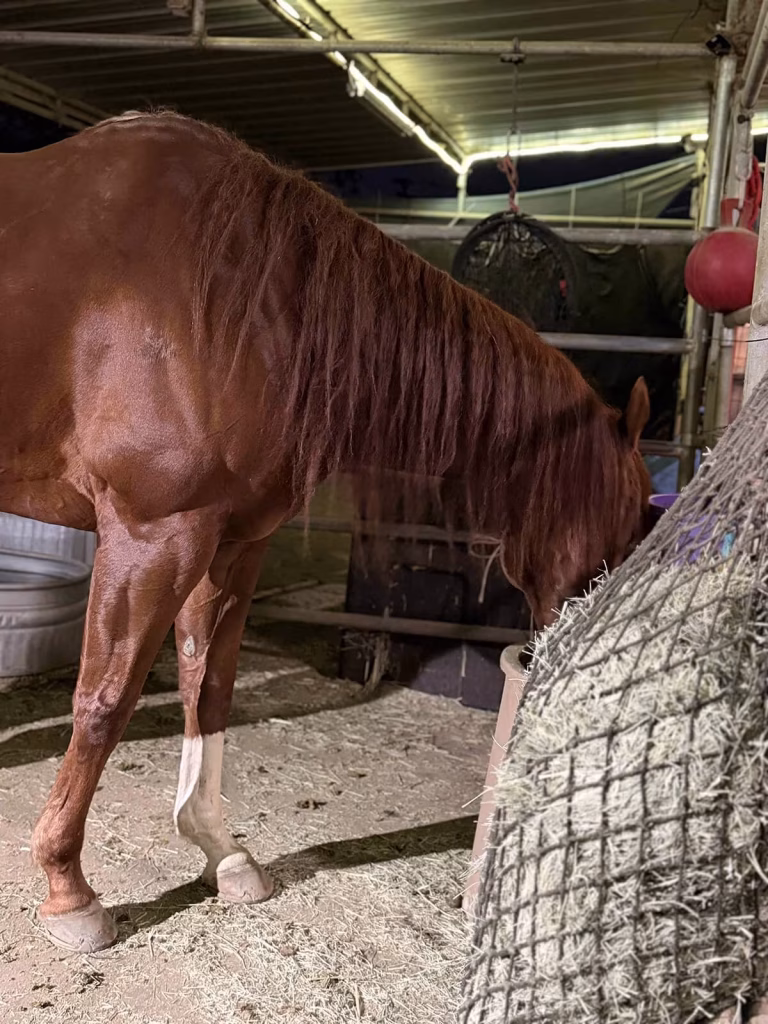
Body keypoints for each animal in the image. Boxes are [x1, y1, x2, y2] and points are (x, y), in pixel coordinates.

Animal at [0, 111, 650, 952]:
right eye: (630, 521)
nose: (567, 653)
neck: (239, 298)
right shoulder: (153, 536)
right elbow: (104, 703)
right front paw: (68, 888)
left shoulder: (231, 542)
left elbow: (210, 688)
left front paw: (220, 852)